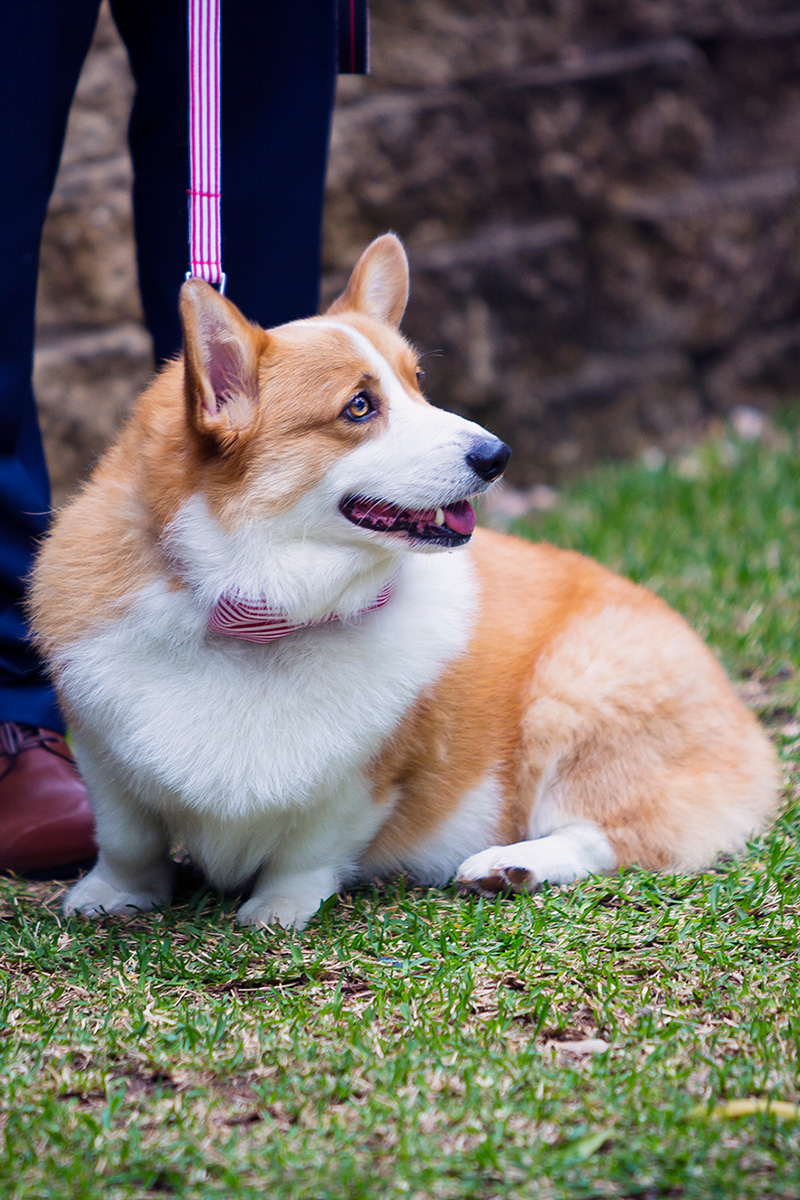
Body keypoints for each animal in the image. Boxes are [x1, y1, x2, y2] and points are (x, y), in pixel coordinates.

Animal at [31, 231, 777, 926]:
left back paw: (511, 865)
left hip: (577, 692)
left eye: (418, 384)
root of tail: (741, 716)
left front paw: (278, 910)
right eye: (359, 407)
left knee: (609, 834)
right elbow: (127, 840)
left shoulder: (365, 782)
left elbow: (308, 851)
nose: (498, 455)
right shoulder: (102, 753)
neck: (257, 606)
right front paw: (110, 896)